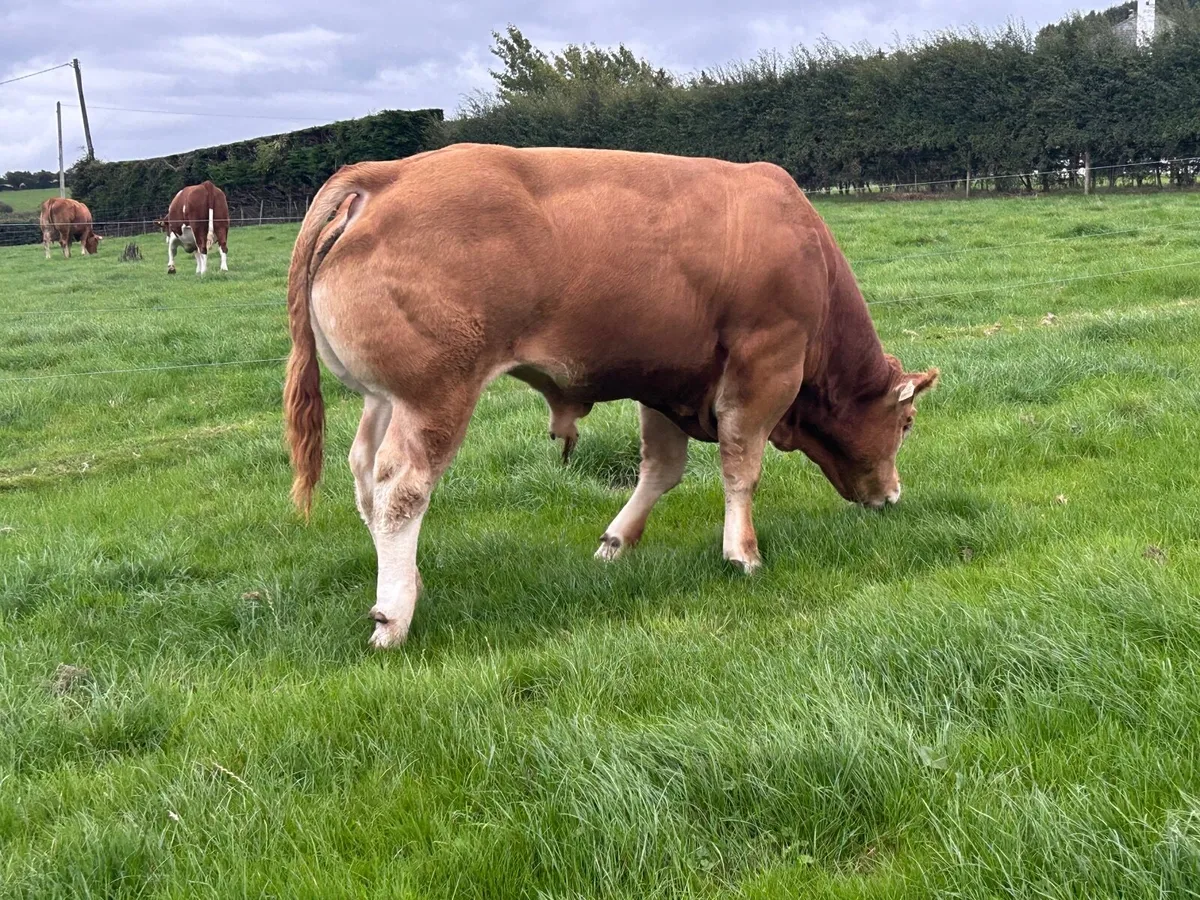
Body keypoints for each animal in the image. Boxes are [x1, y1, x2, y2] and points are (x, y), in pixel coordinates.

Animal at [283, 144, 939, 649]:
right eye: (906, 423)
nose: (893, 496)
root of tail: (382, 175)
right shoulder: (765, 365)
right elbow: (741, 466)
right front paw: (743, 553)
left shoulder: (668, 383)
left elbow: (661, 470)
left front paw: (616, 542)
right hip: (434, 396)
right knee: (401, 489)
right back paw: (394, 616)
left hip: (384, 399)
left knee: (365, 478)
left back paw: (407, 582)